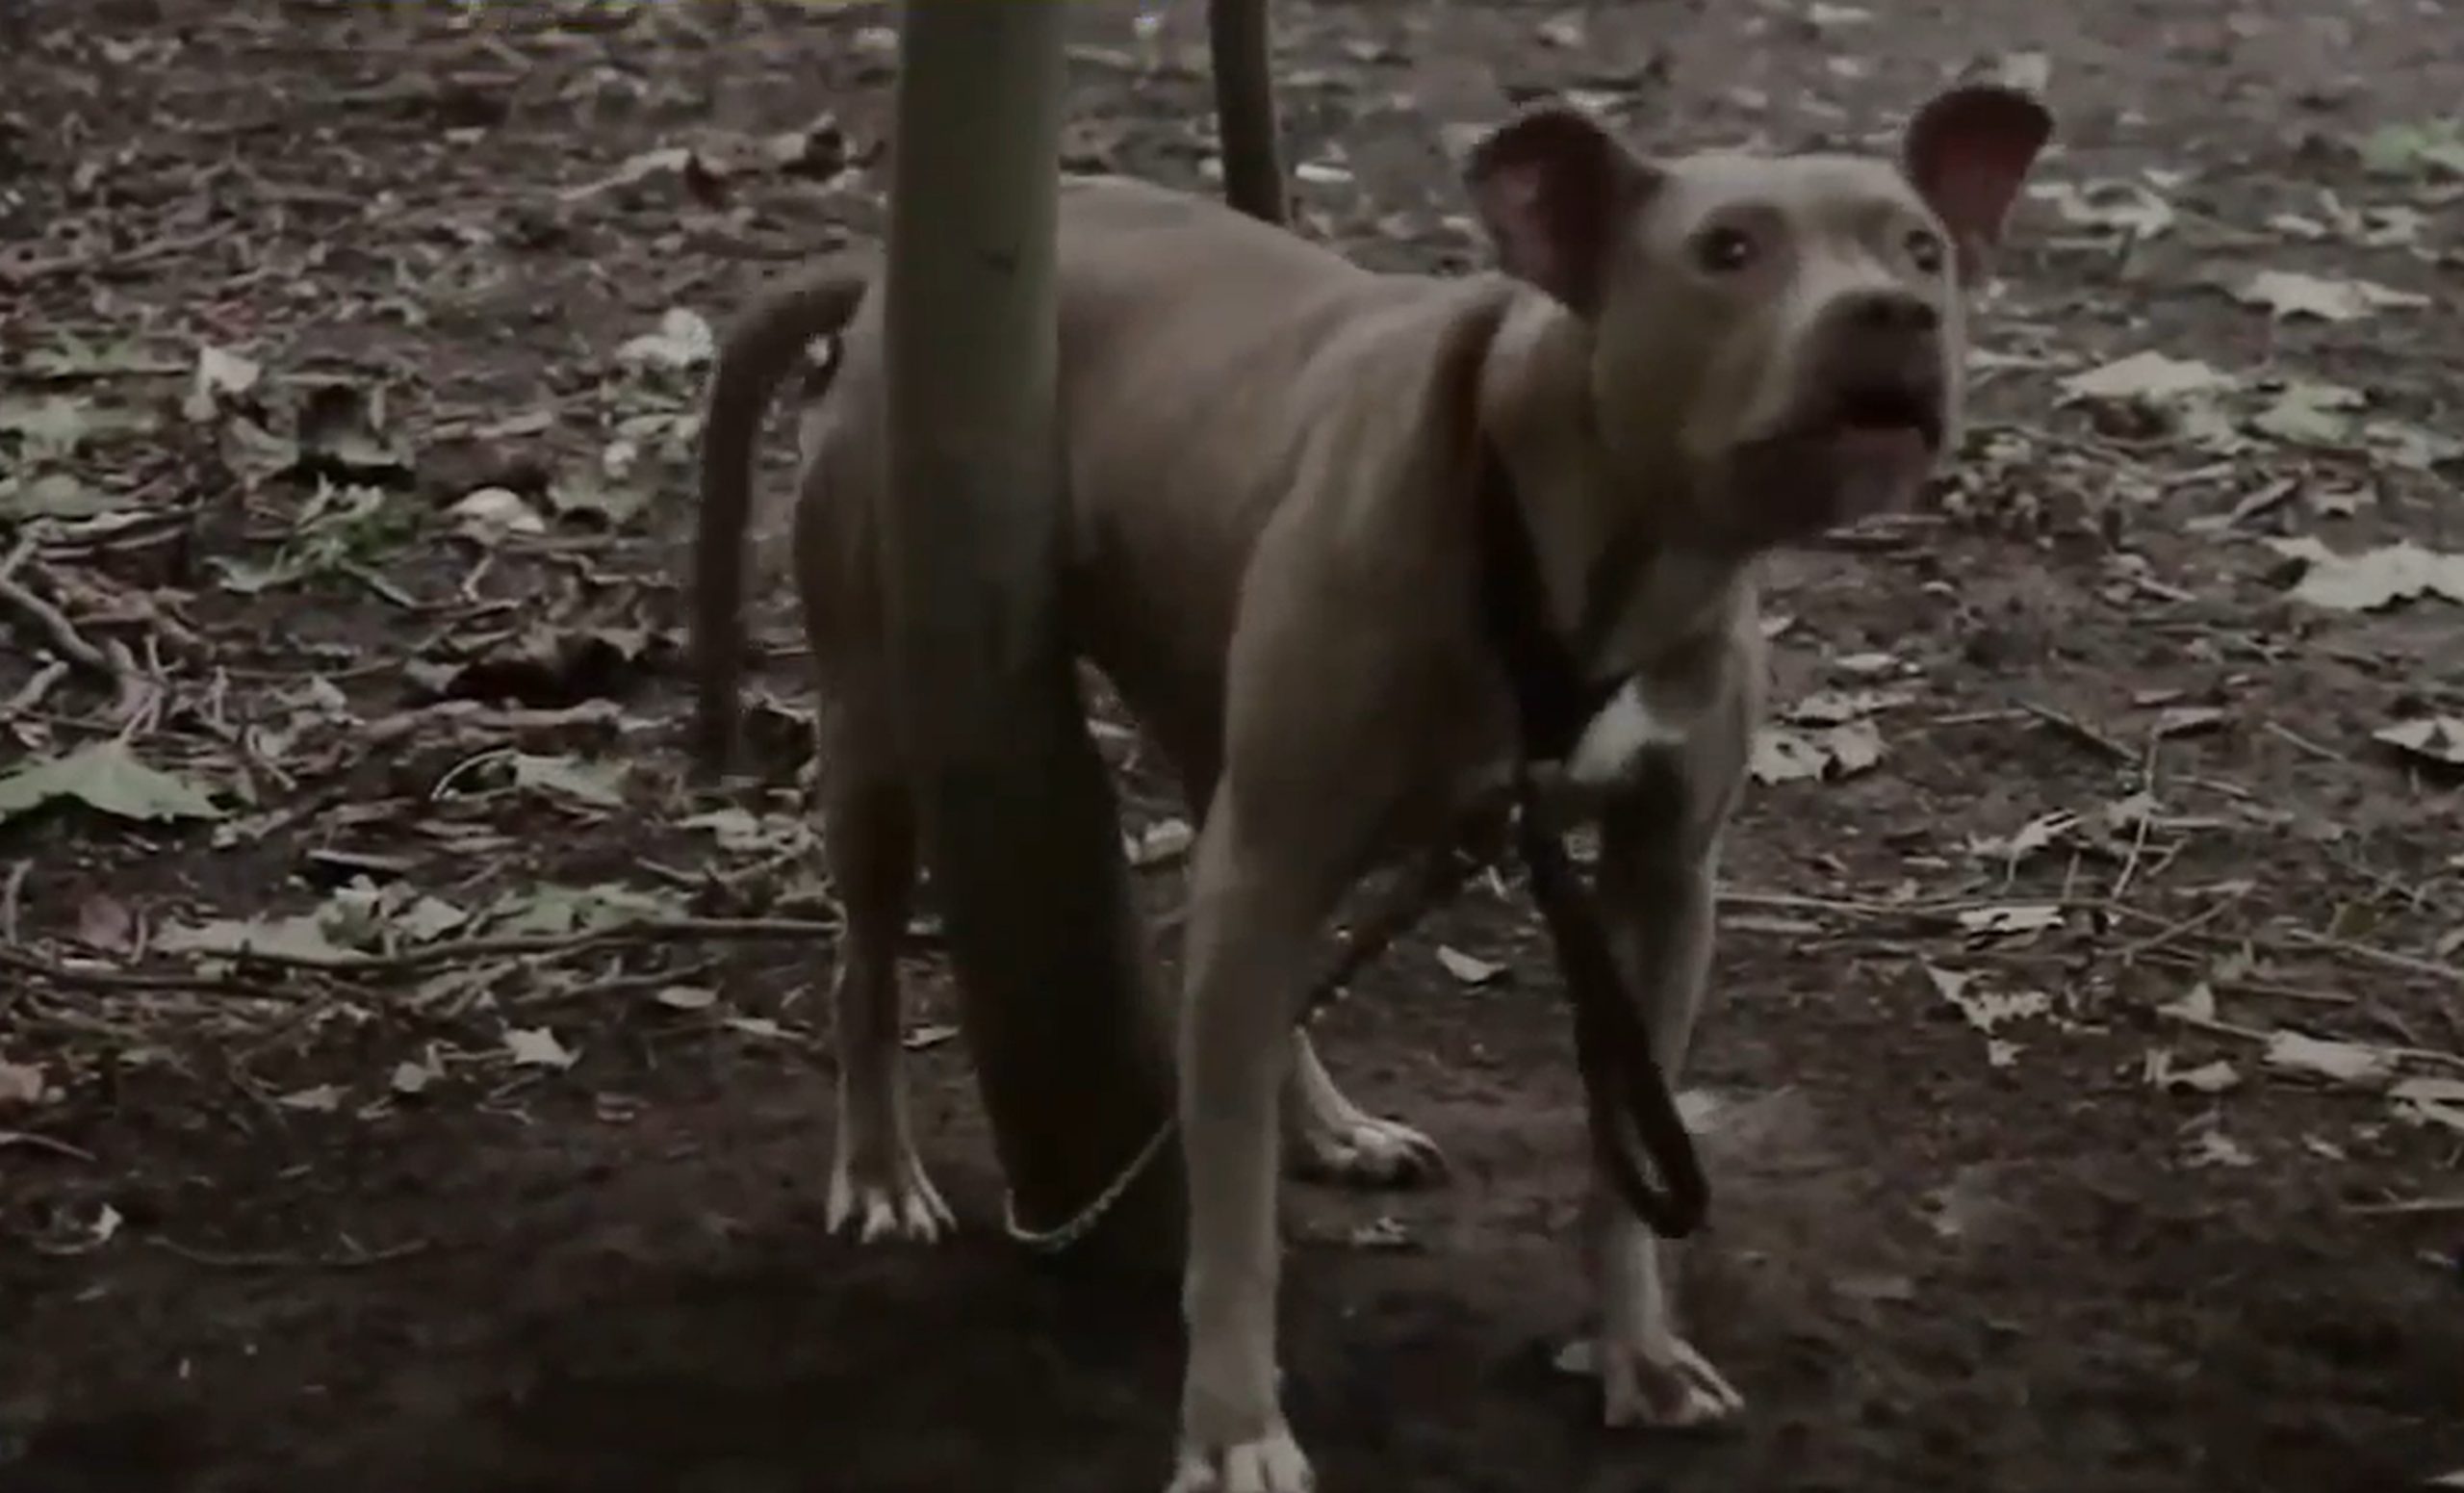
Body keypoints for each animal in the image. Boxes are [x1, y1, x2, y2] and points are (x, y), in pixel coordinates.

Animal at [700, 85, 2060, 1493]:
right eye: (1727, 250)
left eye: (1919, 251)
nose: (1892, 314)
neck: (1587, 544)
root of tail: (885, 283)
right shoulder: (1280, 850)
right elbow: (1234, 1219)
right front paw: (1233, 1427)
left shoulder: (1663, 878)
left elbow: (1626, 1159)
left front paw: (1634, 1352)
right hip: (882, 721)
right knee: (871, 965)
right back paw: (878, 1172)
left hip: (1212, 728)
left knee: (1250, 993)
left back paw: (1326, 1125)